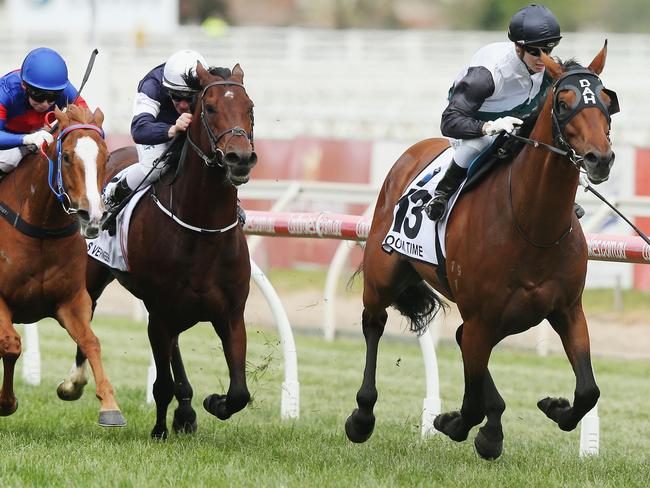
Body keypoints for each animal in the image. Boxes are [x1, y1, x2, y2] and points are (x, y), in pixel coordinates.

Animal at [0, 104, 125, 428]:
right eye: (66, 156)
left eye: (106, 156)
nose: (92, 215)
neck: (41, 227)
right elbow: (11, 344)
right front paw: (6, 402)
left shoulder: (72, 300)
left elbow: (91, 341)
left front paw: (107, 404)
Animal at [58, 63, 256, 440]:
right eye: (210, 108)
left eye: (250, 107)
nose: (240, 158)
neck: (203, 230)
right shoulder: (159, 312)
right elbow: (161, 383)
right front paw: (160, 429)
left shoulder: (232, 313)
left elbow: (240, 392)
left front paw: (213, 403)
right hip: (93, 277)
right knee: (85, 315)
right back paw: (74, 382)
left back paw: (187, 410)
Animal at [344, 43, 616, 460]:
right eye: (563, 102)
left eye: (605, 99)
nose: (599, 159)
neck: (531, 225)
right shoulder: (481, 318)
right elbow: (469, 405)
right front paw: (451, 423)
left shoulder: (567, 310)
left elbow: (588, 390)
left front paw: (554, 408)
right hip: (382, 276)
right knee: (373, 324)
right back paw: (362, 416)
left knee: (458, 338)